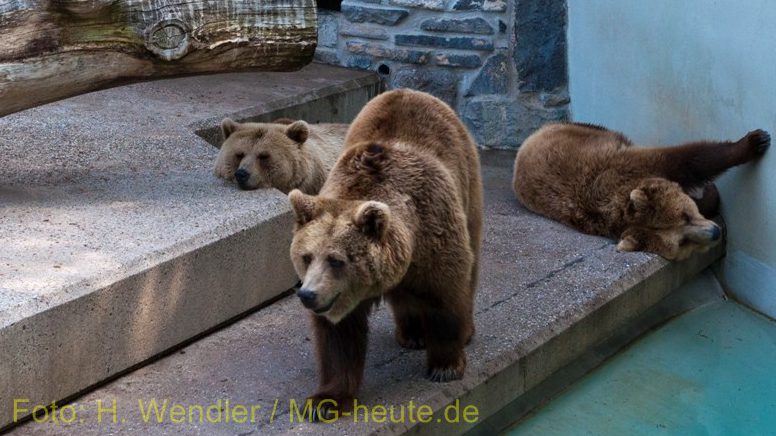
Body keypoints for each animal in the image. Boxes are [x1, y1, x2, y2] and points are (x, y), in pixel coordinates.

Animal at [287, 89, 483, 419]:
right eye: (306, 257)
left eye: (336, 260)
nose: (308, 295)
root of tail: (411, 92)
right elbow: (339, 337)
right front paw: (324, 401)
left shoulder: (434, 236)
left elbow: (445, 295)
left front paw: (445, 365)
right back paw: (412, 333)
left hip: (467, 178)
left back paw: (463, 331)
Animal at [513, 122, 770, 260]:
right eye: (682, 242)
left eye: (685, 215)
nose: (715, 232)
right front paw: (708, 194)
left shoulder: (632, 164)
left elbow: (692, 158)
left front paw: (755, 141)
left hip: (583, 131)